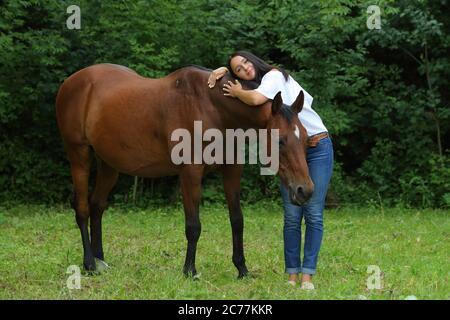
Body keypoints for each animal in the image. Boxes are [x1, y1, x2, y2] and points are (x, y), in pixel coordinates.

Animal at [55, 63, 312, 278]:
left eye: (305, 137)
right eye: (280, 140)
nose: (305, 190)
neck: (212, 109)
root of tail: (72, 82)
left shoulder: (232, 170)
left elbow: (237, 220)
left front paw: (242, 269)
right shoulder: (190, 173)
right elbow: (193, 225)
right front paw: (190, 271)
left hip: (109, 164)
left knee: (97, 206)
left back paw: (100, 260)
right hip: (79, 154)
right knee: (82, 208)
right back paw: (89, 264)